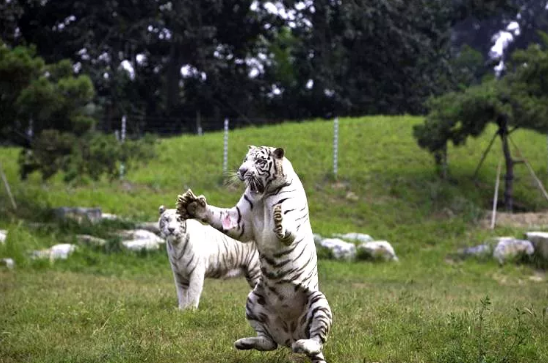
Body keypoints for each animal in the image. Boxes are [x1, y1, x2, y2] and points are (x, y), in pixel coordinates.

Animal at [178, 146, 332, 363]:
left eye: (259, 161)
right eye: (245, 159)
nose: (242, 171)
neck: (264, 194)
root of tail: (291, 335)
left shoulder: (290, 214)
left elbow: (286, 225)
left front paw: (279, 222)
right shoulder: (238, 220)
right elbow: (218, 215)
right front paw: (192, 206)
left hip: (319, 302)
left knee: (317, 340)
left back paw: (304, 344)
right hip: (253, 301)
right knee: (269, 342)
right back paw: (243, 343)